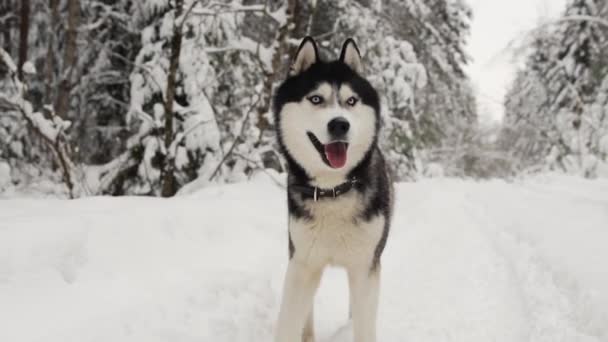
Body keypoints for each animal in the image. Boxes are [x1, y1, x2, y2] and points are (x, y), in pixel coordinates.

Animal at [272, 36, 394, 342]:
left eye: (351, 101)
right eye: (316, 98)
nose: (340, 123)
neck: (333, 189)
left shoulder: (365, 266)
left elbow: (364, 325)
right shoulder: (302, 262)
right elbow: (288, 322)